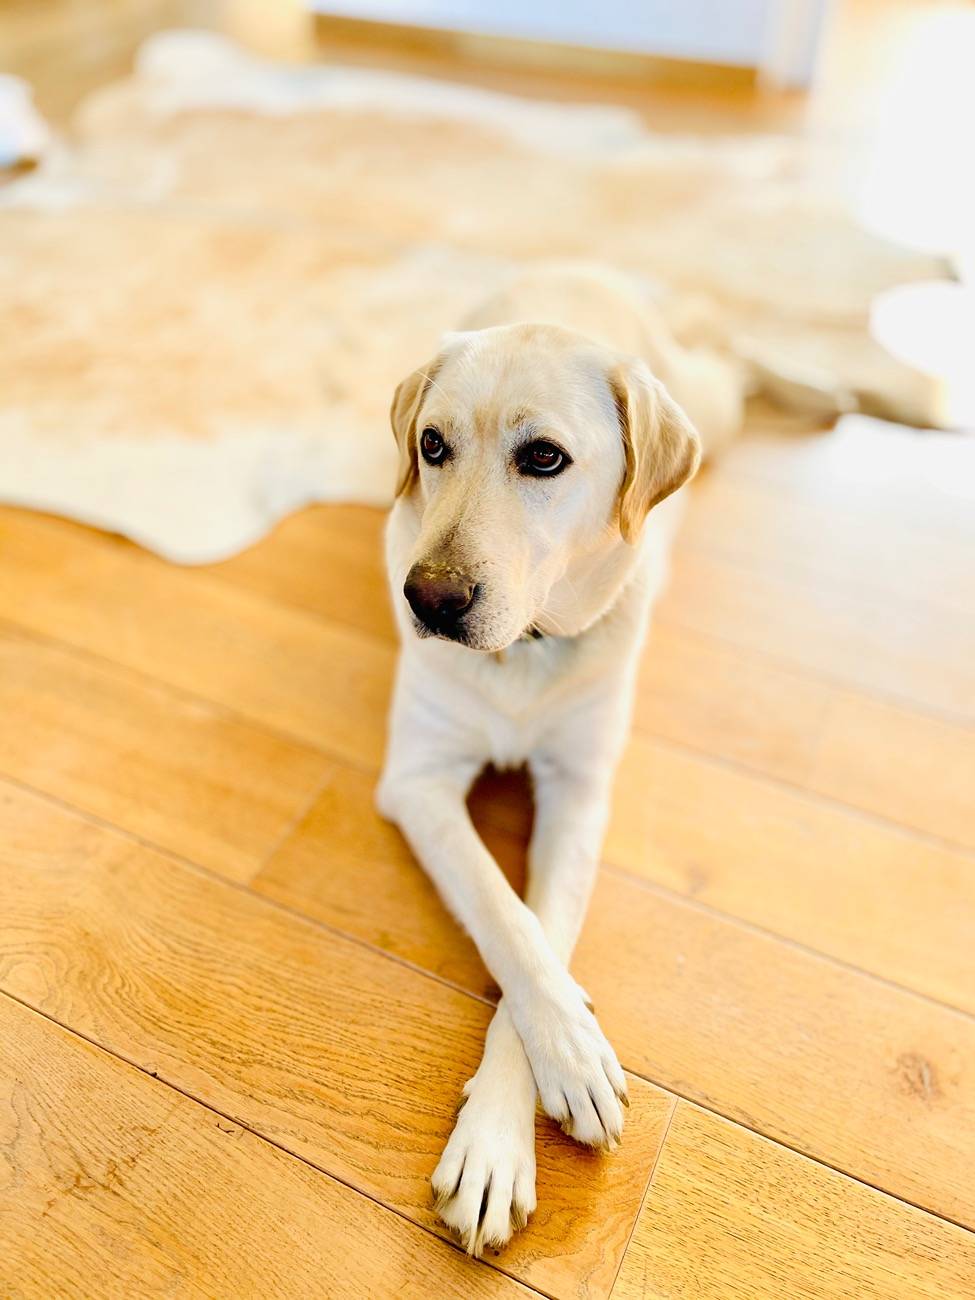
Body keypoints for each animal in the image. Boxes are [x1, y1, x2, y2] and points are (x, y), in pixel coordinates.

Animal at [379, 261, 738, 1248]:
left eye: (543, 458)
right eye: (432, 445)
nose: (428, 600)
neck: (523, 652)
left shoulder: (579, 794)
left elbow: (540, 929)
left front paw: (518, 1113)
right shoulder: (417, 782)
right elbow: (509, 924)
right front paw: (554, 1067)